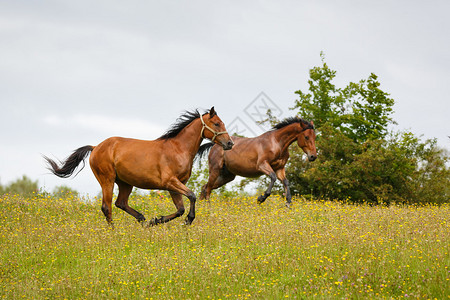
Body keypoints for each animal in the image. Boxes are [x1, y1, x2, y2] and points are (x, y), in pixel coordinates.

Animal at [44, 107, 234, 225]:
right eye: (217, 123)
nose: (230, 143)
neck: (178, 148)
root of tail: (95, 147)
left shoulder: (176, 185)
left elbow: (180, 209)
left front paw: (155, 221)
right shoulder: (170, 182)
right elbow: (192, 197)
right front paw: (188, 220)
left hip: (125, 183)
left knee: (120, 203)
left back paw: (142, 219)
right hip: (107, 180)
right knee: (107, 207)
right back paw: (114, 232)